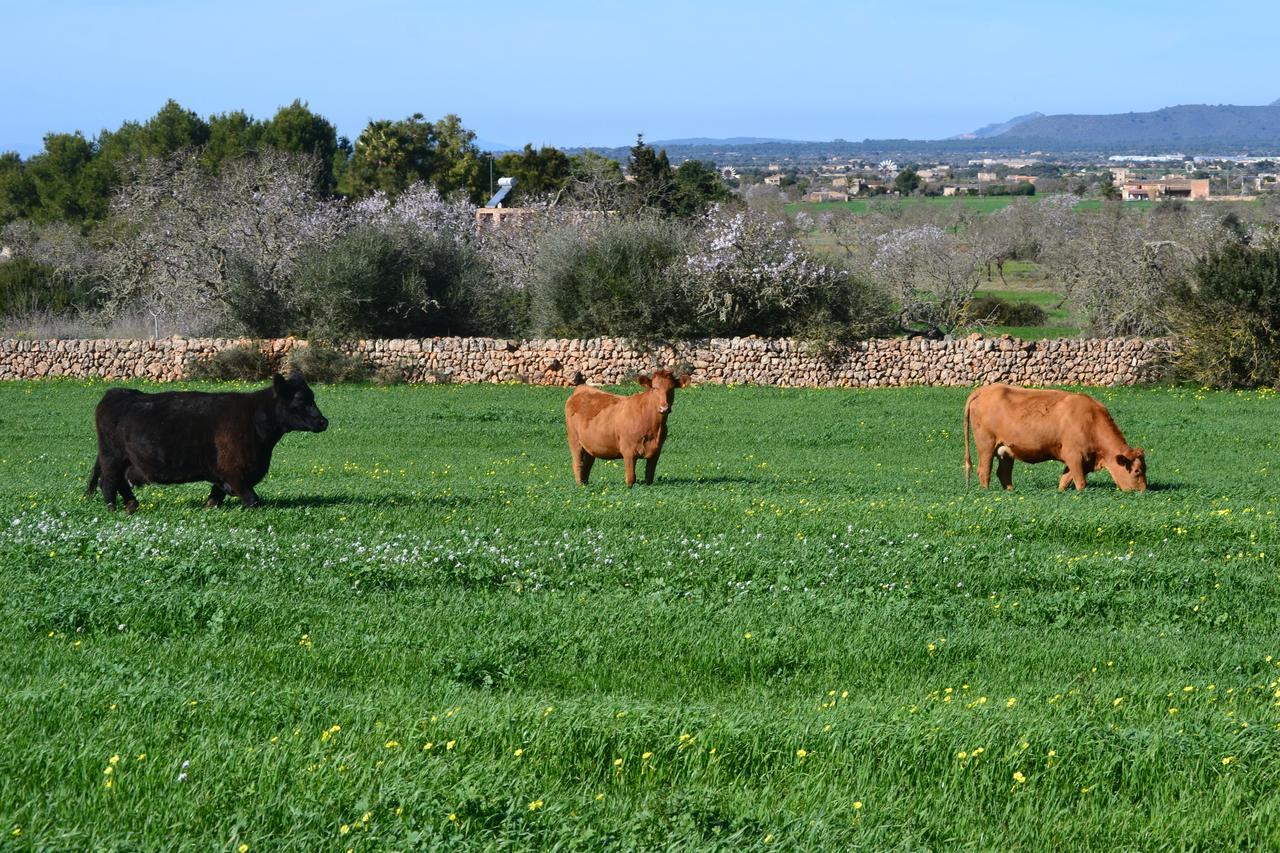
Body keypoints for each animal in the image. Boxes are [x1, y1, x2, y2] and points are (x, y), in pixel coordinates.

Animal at [87, 368, 327, 507]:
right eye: (300, 400)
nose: (323, 421)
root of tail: (116, 393)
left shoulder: (224, 474)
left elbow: (215, 497)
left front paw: (209, 506)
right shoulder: (234, 471)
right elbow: (252, 499)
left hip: (123, 459)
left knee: (119, 481)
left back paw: (132, 505)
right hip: (112, 457)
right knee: (108, 482)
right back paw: (115, 508)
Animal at [962, 384, 1152, 494]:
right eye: (1137, 471)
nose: (1143, 492)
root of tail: (984, 389)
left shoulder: (1078, 460)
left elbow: (1065, 481)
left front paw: (1060, 494)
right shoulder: (1074, 456)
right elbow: (1081, 482)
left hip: (1005, 450)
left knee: (1003, 473)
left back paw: (1010, 492)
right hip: (986, 444)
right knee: (984, 471)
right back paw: (986, 493)